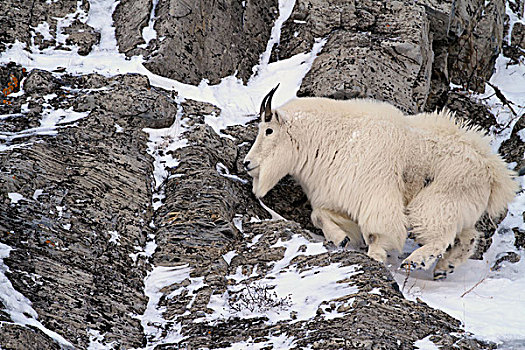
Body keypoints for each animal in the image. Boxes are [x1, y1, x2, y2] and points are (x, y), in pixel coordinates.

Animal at [245, 86, 516, 280]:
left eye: (268, 130)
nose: (248, 163)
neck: (332, 138)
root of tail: (492, 171)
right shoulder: (338, 197)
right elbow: (318, 215)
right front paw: (341, 239)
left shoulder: (376, 195)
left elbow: (377, 232)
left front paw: (375, 258)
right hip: (460, 207)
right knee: (468, 237)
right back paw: (443, 268)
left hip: (437, 201)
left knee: (441, 237)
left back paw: (415, 261)